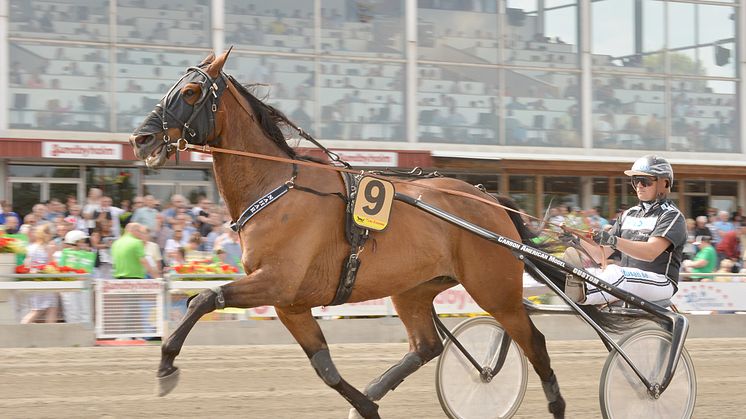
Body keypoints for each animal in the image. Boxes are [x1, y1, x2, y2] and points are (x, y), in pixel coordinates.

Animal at [131, 51, 568, 419]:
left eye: (190, 91)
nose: (141, 138)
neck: (276, 188)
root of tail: (487, 198)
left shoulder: (276, 282)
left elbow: (203, 298)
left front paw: (166, 364)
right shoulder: (290, 303)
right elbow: (324, 366)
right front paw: (366, 406)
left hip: (494, 290)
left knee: (535, 344)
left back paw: (554, 403)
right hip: (413, 288)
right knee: (427, 346)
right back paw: (379, 389)